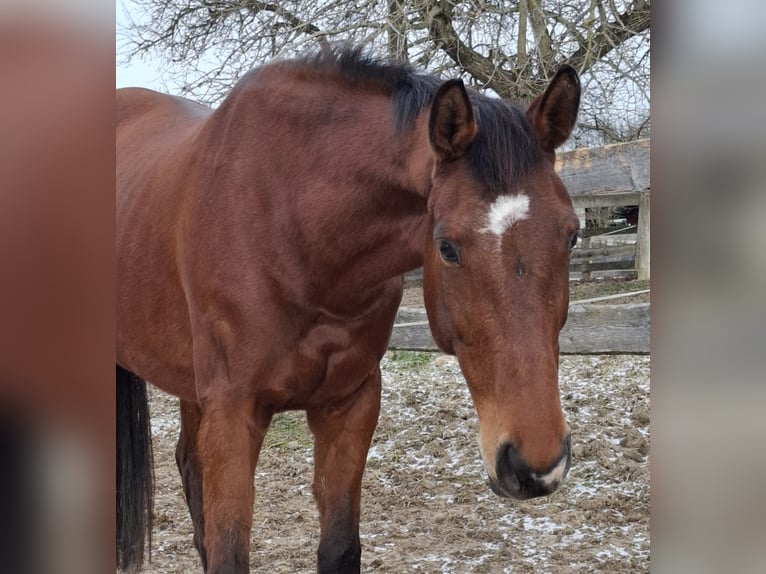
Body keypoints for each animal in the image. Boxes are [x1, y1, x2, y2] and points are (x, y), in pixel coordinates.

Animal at [115, 47, 584, 572]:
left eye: (571, 235)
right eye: (447, 247)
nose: (537, 465)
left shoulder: (350, 405)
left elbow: (339, 547)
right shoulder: (234, 414)